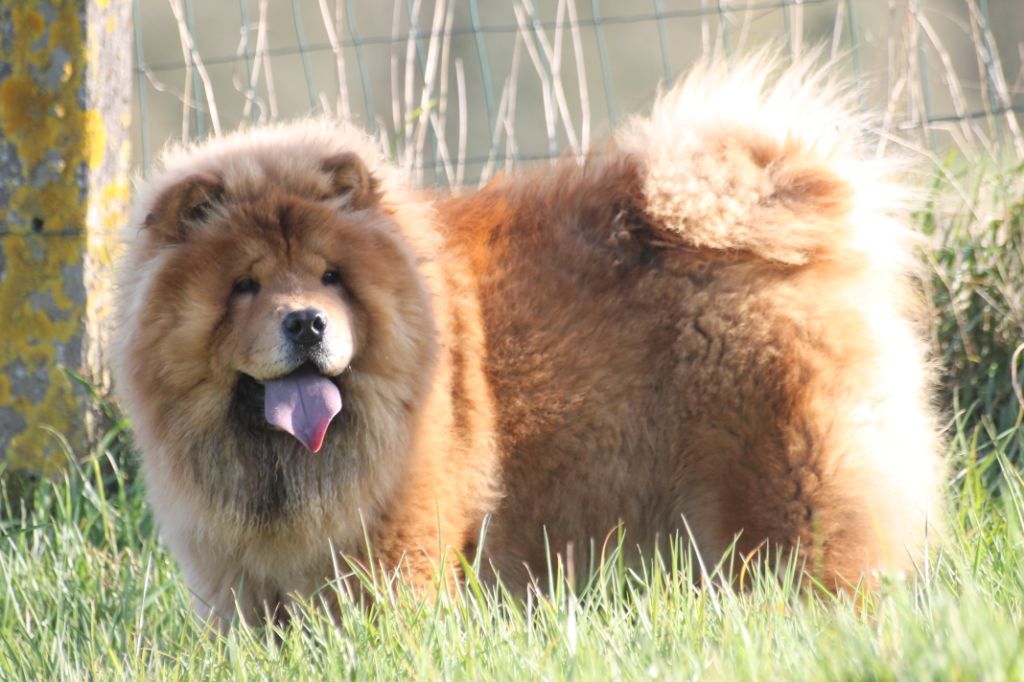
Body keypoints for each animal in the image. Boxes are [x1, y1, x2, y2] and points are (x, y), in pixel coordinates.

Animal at [112, 55, 942, 622]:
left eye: (330, 277)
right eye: (244, 285)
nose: (307, 320)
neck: (285, 469)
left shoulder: (401, 539)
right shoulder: (237, 574)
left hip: (788, 480)